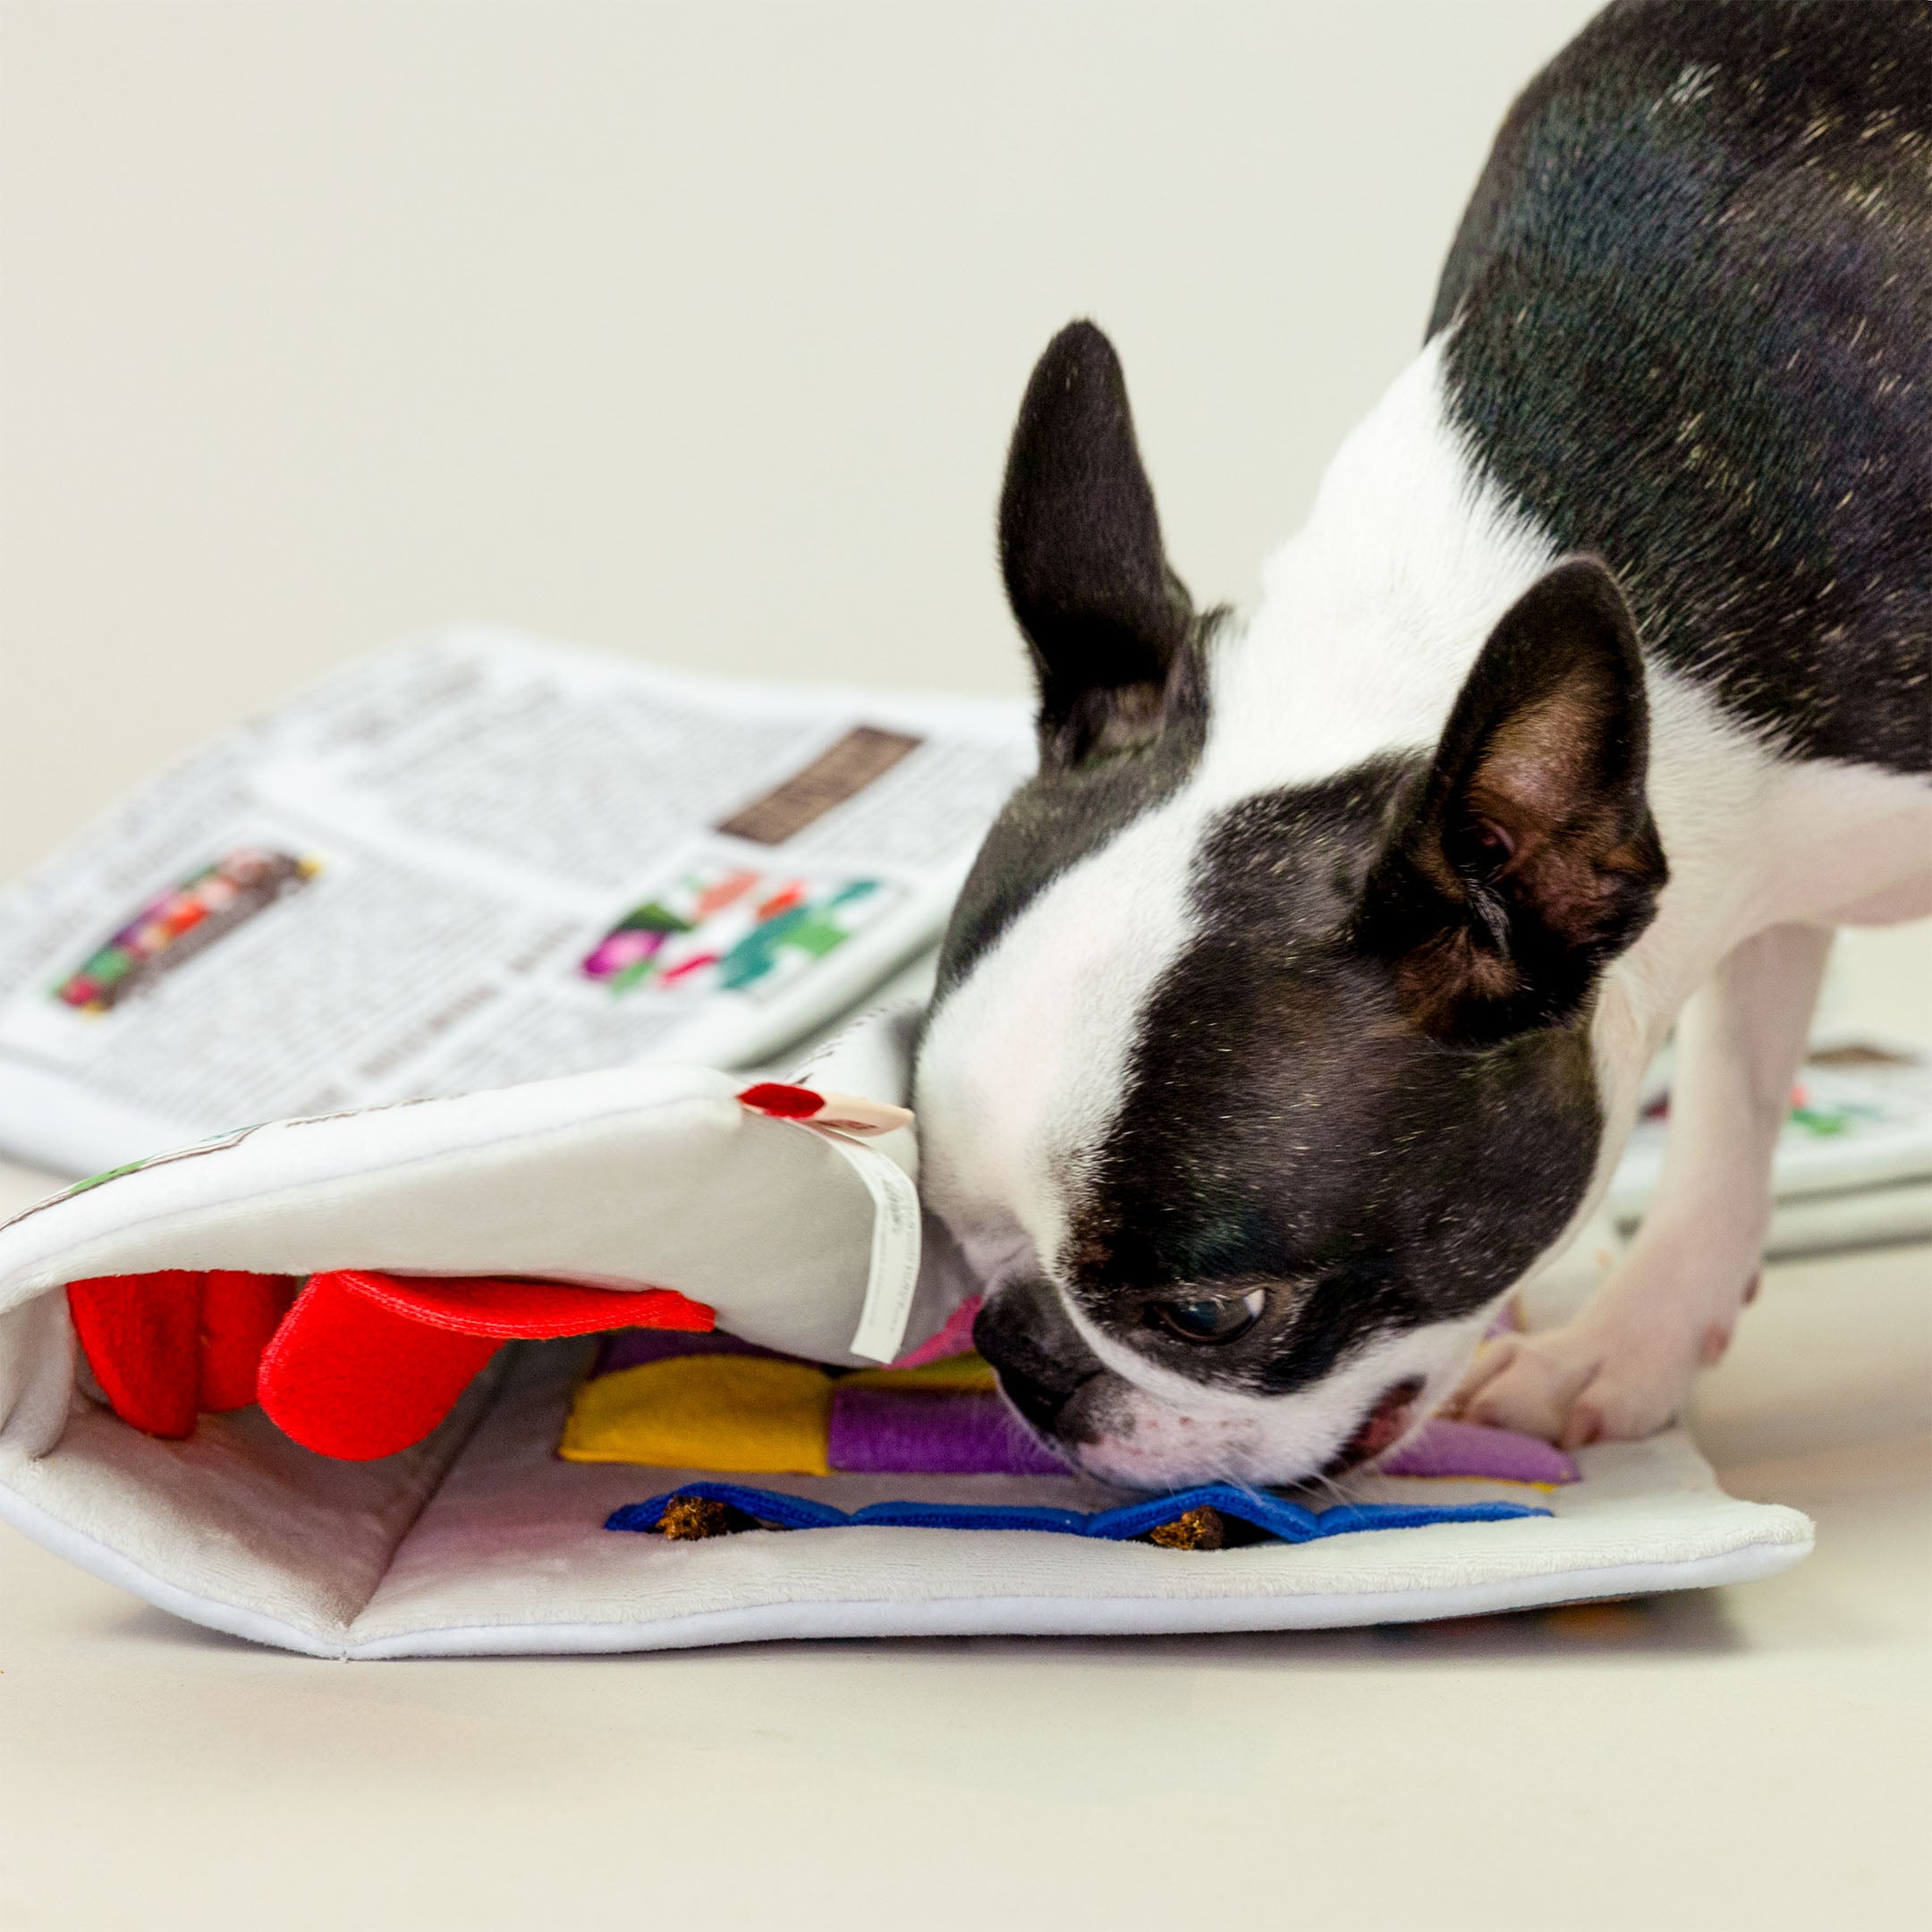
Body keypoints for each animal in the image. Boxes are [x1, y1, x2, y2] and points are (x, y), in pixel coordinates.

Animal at [908, 0, 1932, 1483]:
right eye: (954, 1234)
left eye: (1210, 1313)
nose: (1019, 1355)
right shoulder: (1763, 868)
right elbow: (1735, 1099)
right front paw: (1630, 1346)